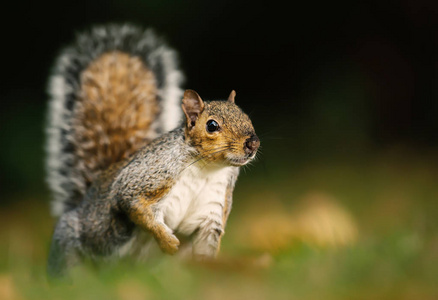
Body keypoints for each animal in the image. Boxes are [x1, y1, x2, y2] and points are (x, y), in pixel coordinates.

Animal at [45, 24, 258, 278]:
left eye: (247, 117)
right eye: (212, 125)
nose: (253, 143)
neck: (207, 169)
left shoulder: (212, 210)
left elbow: (206, 248)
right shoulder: (149, 175)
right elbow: (135, 206)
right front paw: (167, 240)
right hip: (72, 240)